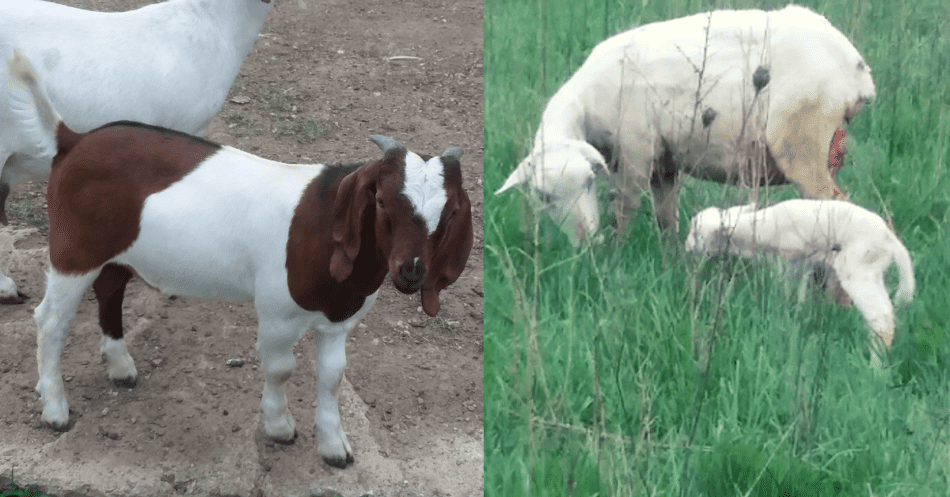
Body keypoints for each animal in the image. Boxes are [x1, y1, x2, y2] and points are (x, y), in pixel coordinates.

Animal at [8, 52, 476, 466]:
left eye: (451, 213)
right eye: (380, 201)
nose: (411, 271)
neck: (321, 228)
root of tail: (73, 140)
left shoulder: (339, 321)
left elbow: (333, 378)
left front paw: (334, 448)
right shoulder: (276, 314)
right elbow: (281, 369)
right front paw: (280, 427)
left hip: (119, 250)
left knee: (110, 289)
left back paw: (121, 367)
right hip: (74, 249)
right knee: (50, 320)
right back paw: (55, 409)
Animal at [498, 3, 876, 244]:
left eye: (591, 181)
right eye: (543, 197)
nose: (585, 241)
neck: (589, 103)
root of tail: (854, 66)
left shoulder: (636, 152)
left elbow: (623, 209)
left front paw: (614, 257)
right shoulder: (664, 162)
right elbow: (666, 217)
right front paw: (670, 261)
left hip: (802, 142)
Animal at [688, 199, 920, 368]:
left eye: (696, 233)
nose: (687, 248)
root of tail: (891, 241)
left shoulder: (790, 258)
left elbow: (786, 289)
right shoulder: (804, 264)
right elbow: (800, 294)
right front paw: (799, 313)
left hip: (859, 268)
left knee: (882, 318)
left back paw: (875, 368)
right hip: (873, 271)